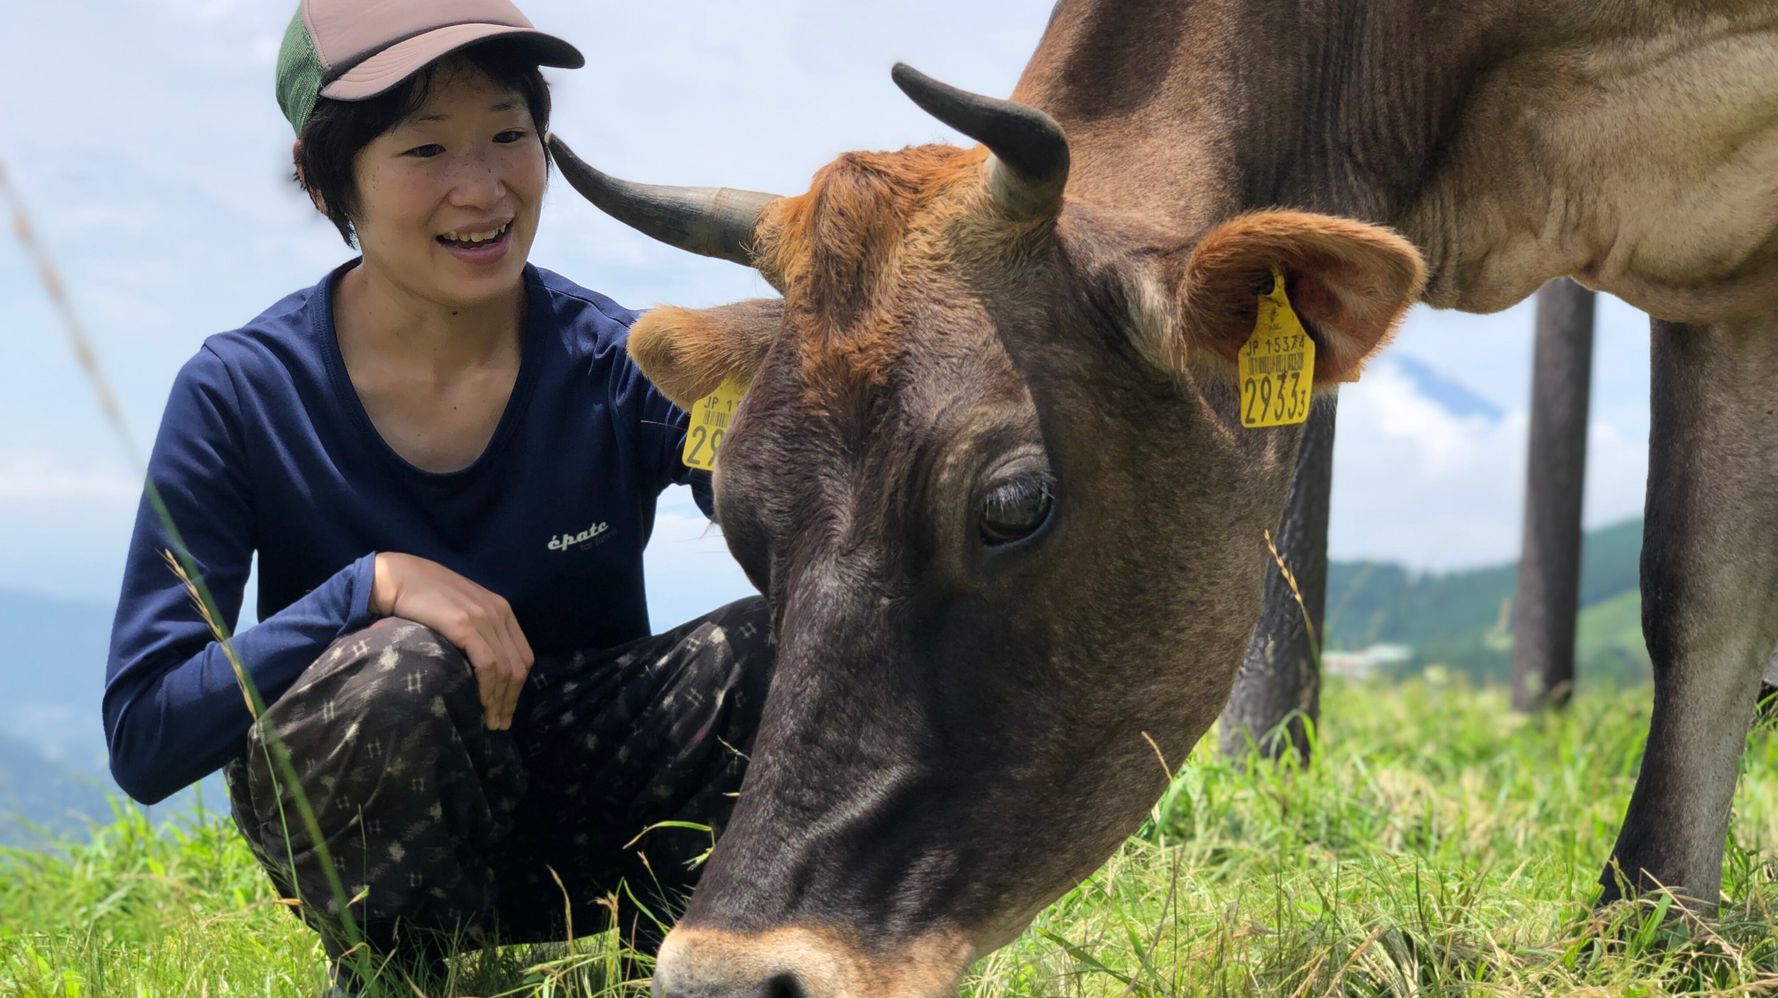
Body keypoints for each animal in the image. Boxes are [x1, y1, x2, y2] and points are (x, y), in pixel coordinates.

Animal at [547, 3, 1770, 989]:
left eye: (1011, 505)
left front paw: (1644, 923)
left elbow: (1699, 595)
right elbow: (1698, 592)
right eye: (735, 518)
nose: (723, 979)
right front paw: (1657, 931)